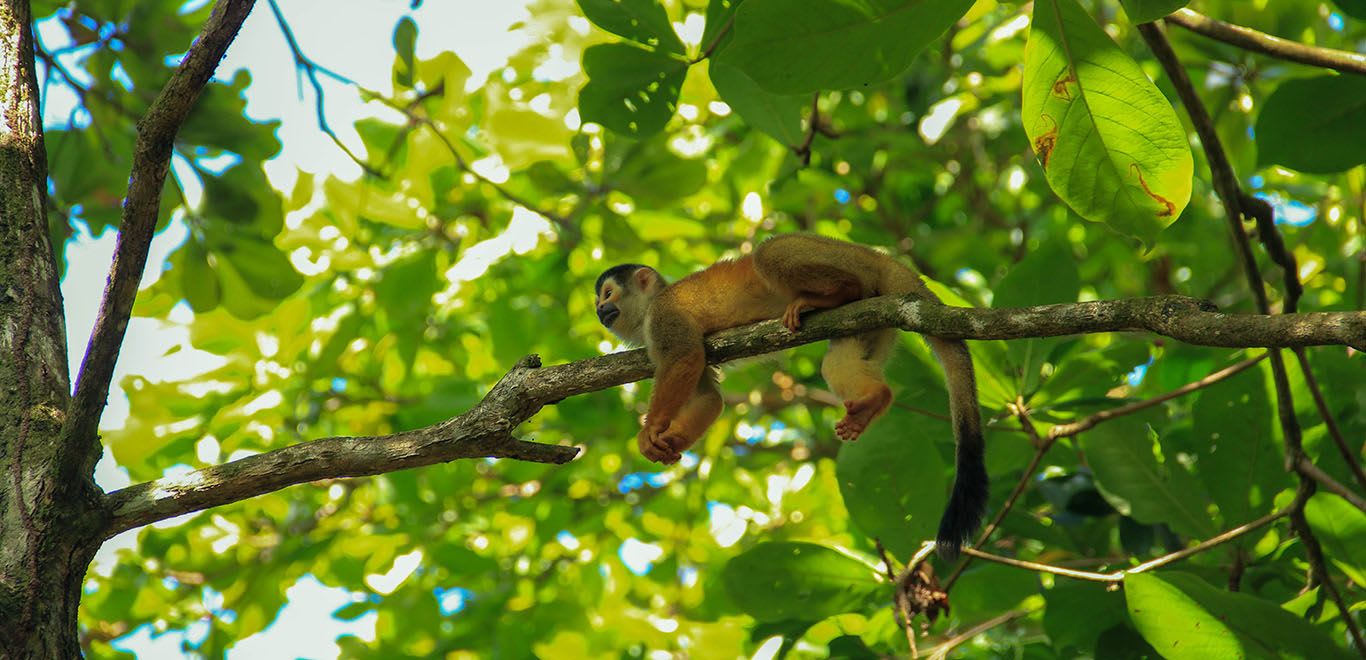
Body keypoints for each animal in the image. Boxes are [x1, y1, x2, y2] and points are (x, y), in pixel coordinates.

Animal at [592, 235, 988, 560]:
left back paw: (835, 292)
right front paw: (669, 441)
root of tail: (880, 257)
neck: (647, 311)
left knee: (770, 253)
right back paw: (874, 399)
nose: (598, 310)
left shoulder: (664, 316)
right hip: (874, 315)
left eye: (607, 294)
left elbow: (685, 358)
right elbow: (708, 397)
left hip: (839, 257)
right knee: (838, 360)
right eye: (599, 300)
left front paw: (651, 429)